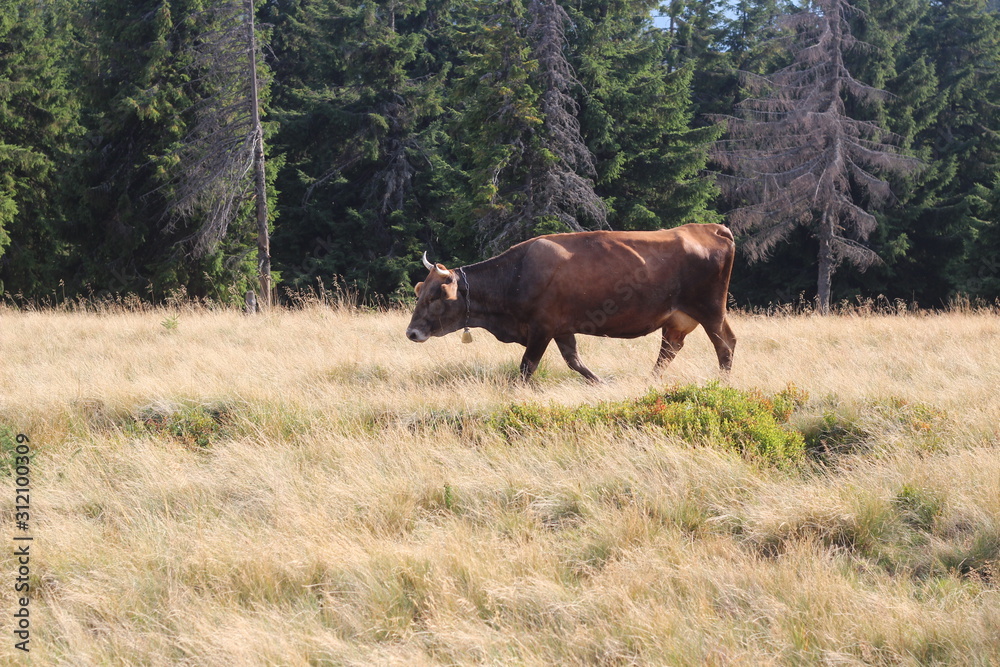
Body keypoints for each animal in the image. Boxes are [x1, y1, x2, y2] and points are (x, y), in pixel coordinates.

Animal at [402, 223, 740, 384]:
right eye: (420, 292)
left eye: (434, 297)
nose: (411, 333)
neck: (518, 273)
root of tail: (711, 228)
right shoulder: (563, 329)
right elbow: (575, 361)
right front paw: (601, 383)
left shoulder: (542, 328)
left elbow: (526, 367)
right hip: (679, 319)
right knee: (670, 349)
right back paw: (650, 381)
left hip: (711, 310)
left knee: (725, 344)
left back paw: (722, 383)